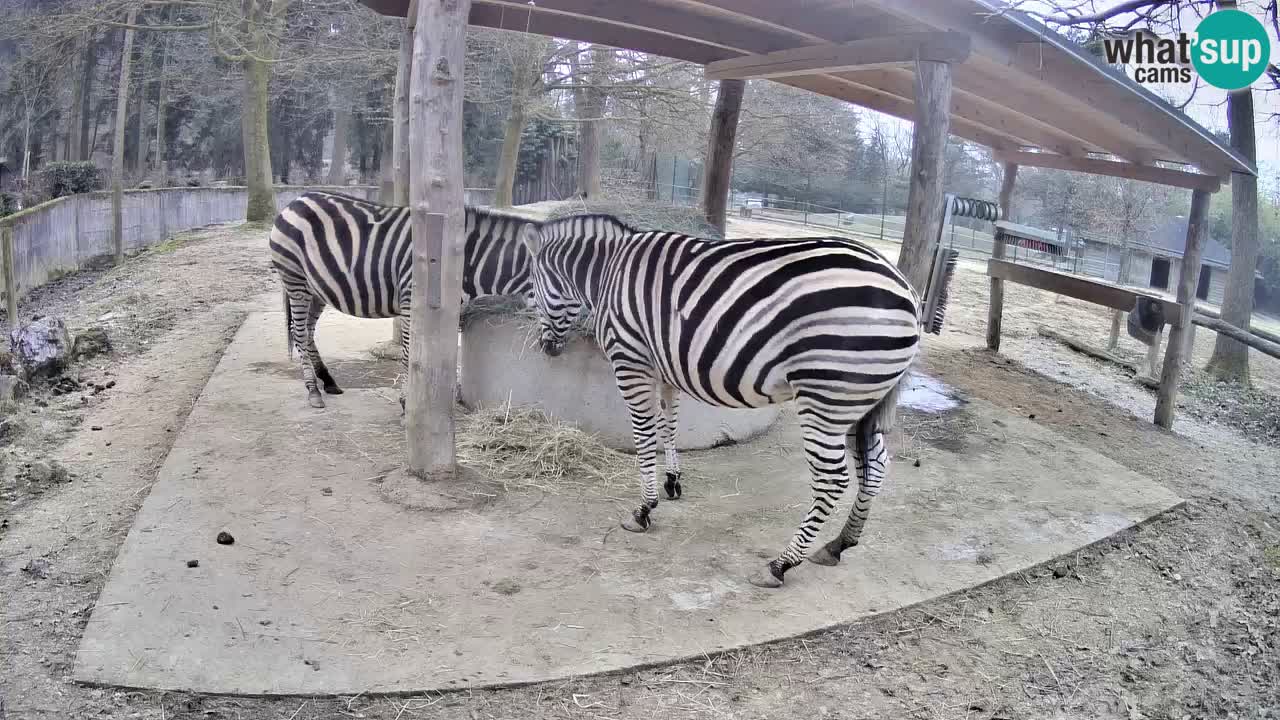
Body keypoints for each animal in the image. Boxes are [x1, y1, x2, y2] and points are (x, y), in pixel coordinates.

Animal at [269, 190, 553, 409]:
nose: (552, 351)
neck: (465, 258)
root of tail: (296, 200)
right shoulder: (410, 304)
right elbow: (409, 355)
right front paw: (408, 402)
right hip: (295, 279)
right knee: (298, 332)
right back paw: (313, 392)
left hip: (317, 288)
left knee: (307, 331)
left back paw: (327, 381)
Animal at [522, 219, 927, 589]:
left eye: (532, 290)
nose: (546, 348)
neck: (607, 270)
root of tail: (905, 288)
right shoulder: (665, 366)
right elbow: (669, 424)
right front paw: (672, 482)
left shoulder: (630, 361)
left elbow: (644, 436)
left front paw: (643, 509)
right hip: (860, 403)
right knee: (876, 465)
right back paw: (839, 544)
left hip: (826, 398)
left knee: (833, 480)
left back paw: (780, 564)